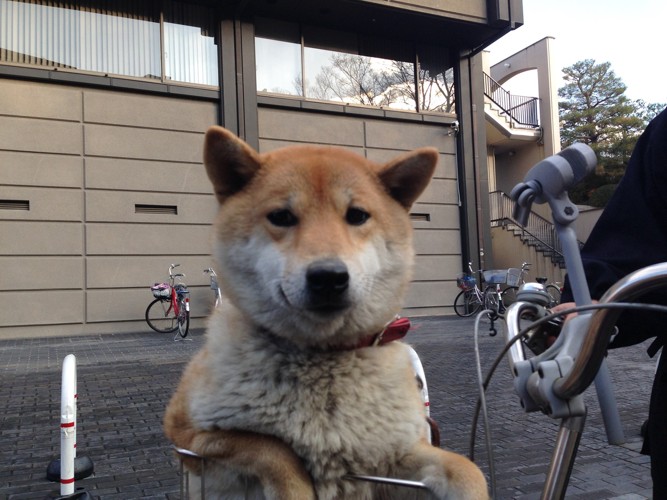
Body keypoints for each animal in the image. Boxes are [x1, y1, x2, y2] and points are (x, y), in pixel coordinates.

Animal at [166, 127, 490, 498]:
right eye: (281, 216)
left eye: (357, 215)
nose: (328, 277)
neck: (324, 356)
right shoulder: (187, 435)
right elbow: (273, 449)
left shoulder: (395, 454)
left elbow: (467, 469)